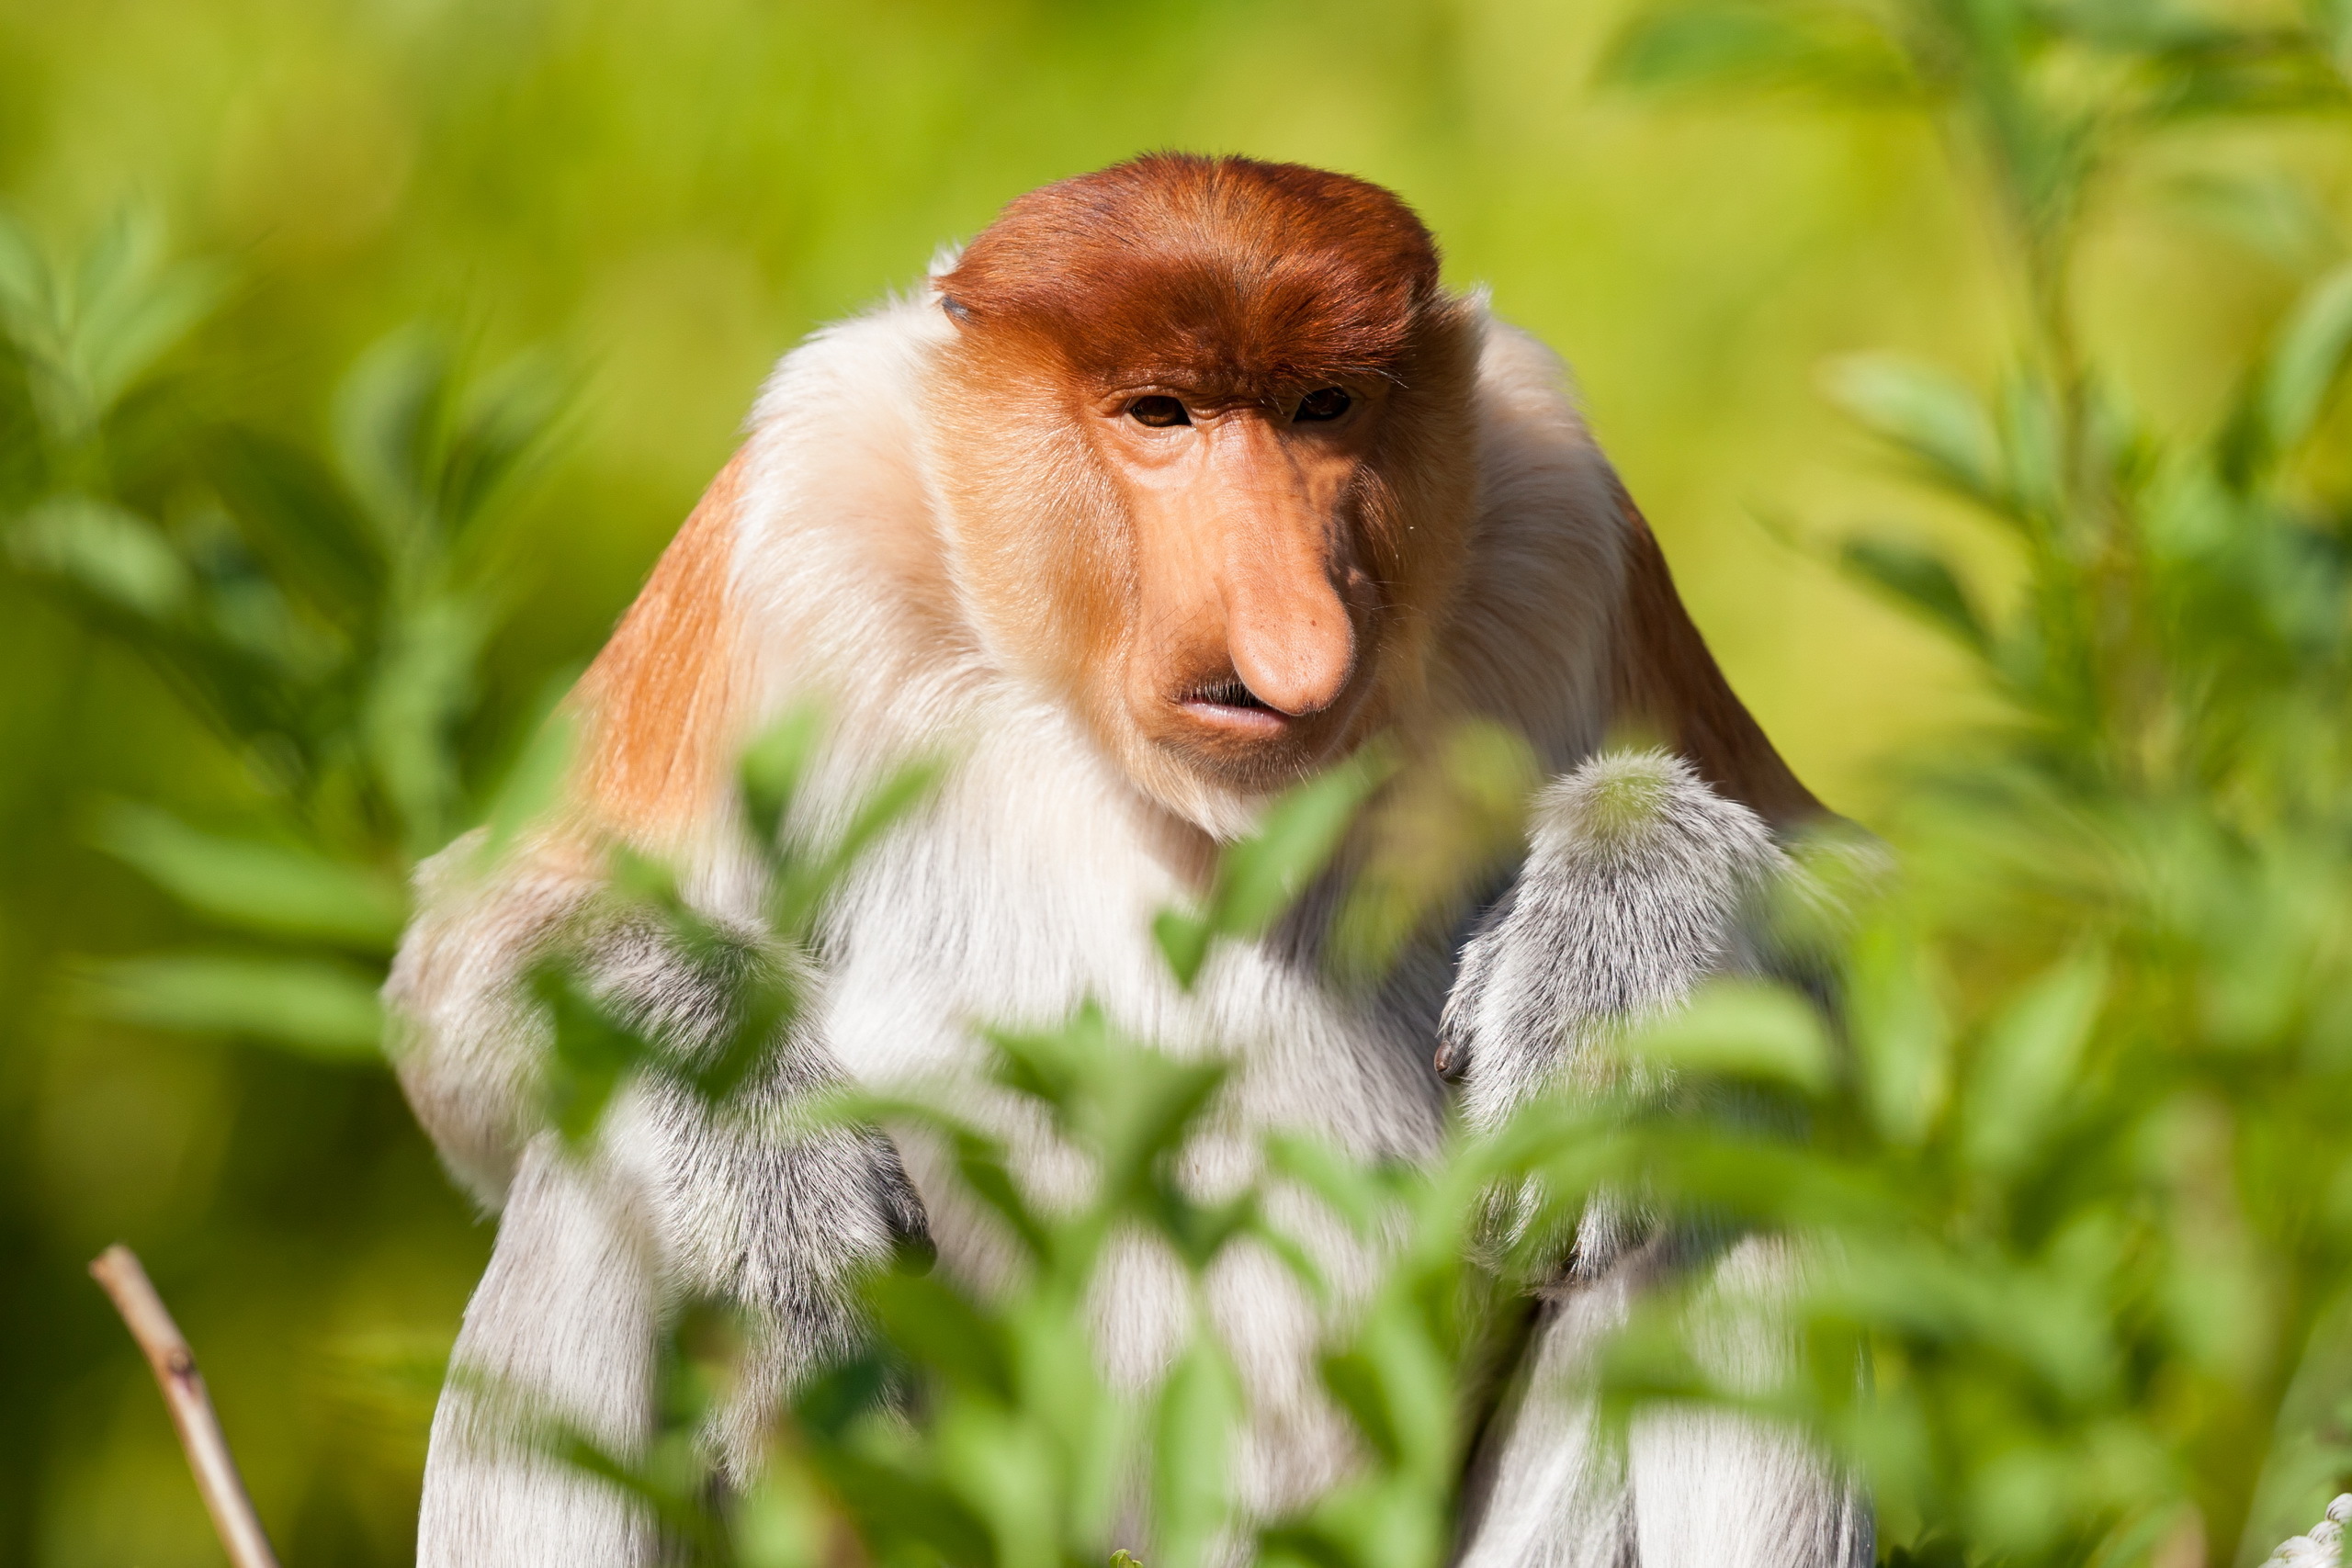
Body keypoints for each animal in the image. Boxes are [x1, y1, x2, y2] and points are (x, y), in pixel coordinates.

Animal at [385, 153, 1868, 1567]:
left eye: (1324, 407)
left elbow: (1855, 919)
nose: (1292, 637)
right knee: (580, 1182)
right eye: (1162, 413)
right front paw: (768, 1160)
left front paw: (1606, 954)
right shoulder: (787, 518)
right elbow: (469, 972)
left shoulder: (1568, 523)